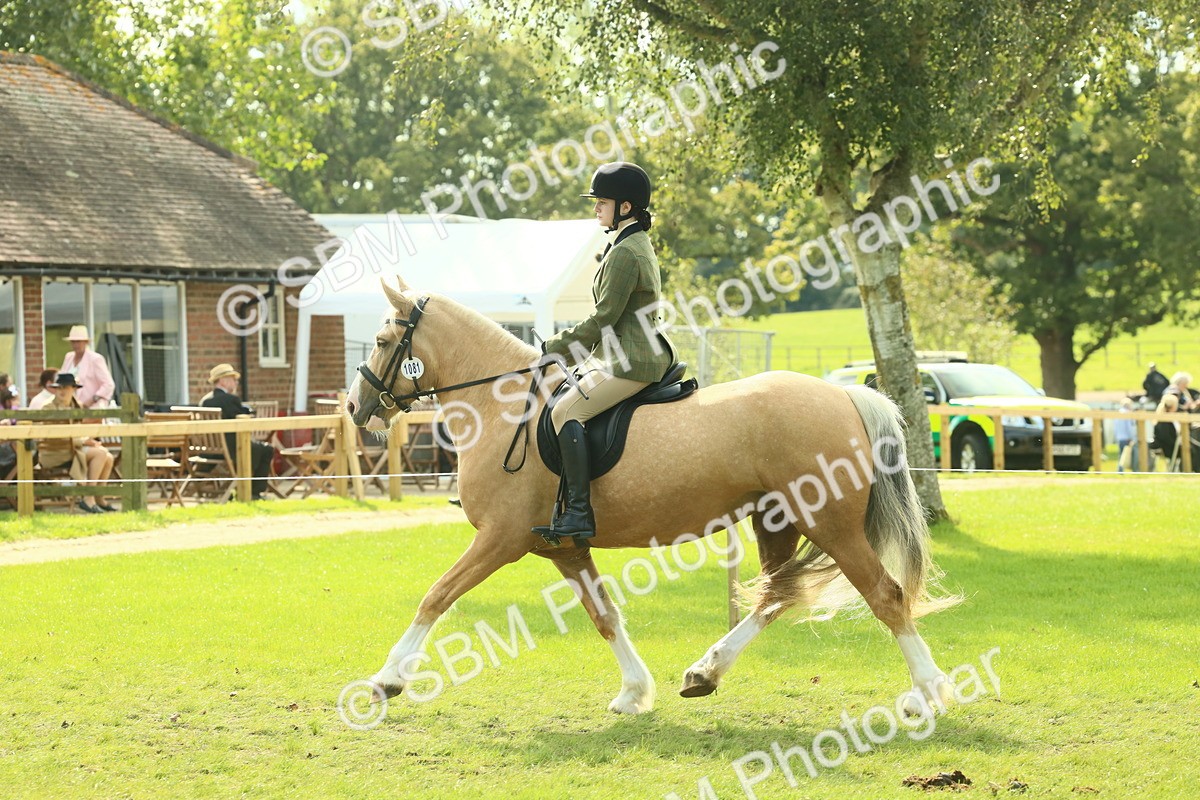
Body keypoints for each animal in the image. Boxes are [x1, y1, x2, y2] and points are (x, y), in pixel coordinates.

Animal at [344, 277, 960, 716]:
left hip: (829, 524)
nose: (355, 408)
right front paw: (634, 692)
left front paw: (387, 680)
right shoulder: (563, 547)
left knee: (885, 596)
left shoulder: (502, 538)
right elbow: (604, 615)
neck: (505, 405)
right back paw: (704, 673)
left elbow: (436, 596)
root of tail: (845, 395)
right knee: (777, 596)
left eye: (381, 341)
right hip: (779, 520)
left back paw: (928, 694)